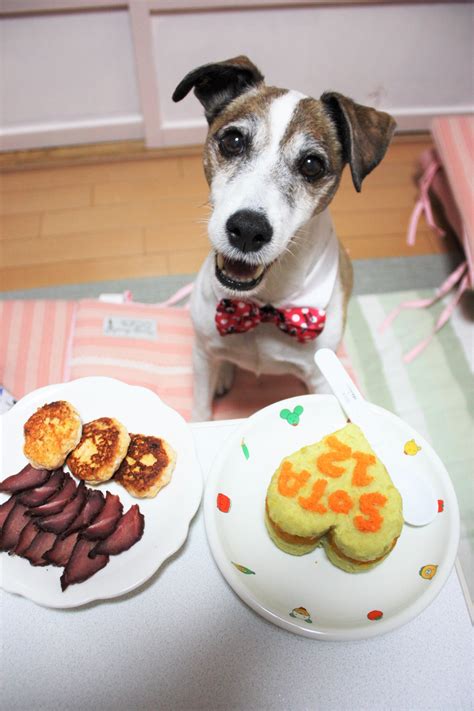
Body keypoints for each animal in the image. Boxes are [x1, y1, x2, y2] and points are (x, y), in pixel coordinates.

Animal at [172, 58, 394, 422]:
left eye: (312, 164)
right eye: (233, 140)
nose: (248, 229)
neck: (262, 306)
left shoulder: (322, 378)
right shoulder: (201, 355)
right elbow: (201, 410)